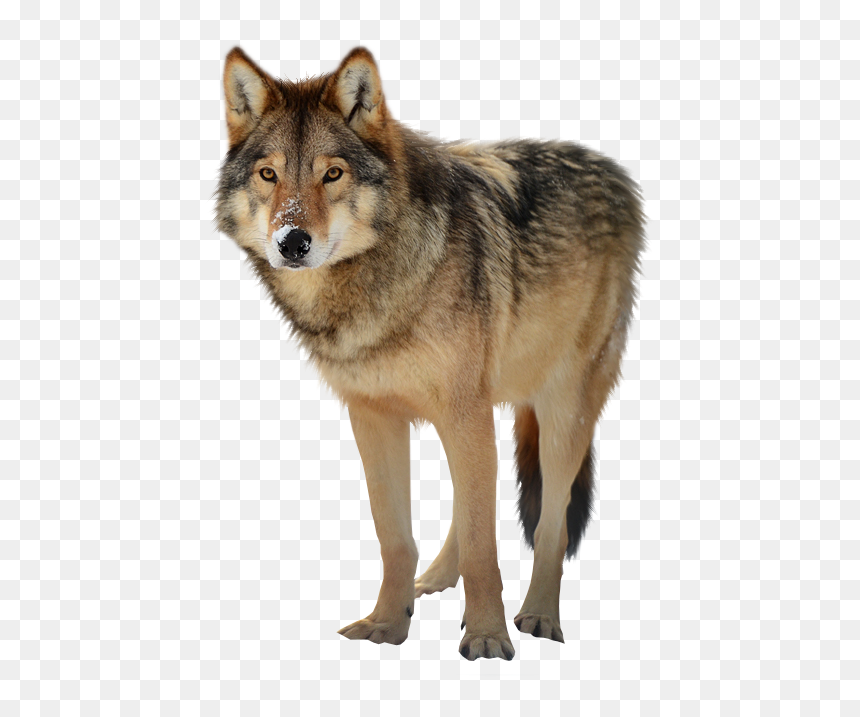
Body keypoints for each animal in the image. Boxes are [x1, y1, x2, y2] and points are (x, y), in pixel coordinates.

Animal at [216, 46, 644, 661]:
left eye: (332, 172)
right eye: (268, 174)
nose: (292, 242)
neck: (378, 291)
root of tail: (615, 172)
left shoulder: (463, 412)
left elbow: (490, 544)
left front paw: (489, 637)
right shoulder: (374, 418)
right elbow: (398, 538)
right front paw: (386, 625)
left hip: (562, 409)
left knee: (550, 522)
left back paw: (539, 614)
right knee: (470, 512)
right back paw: (439, 580)